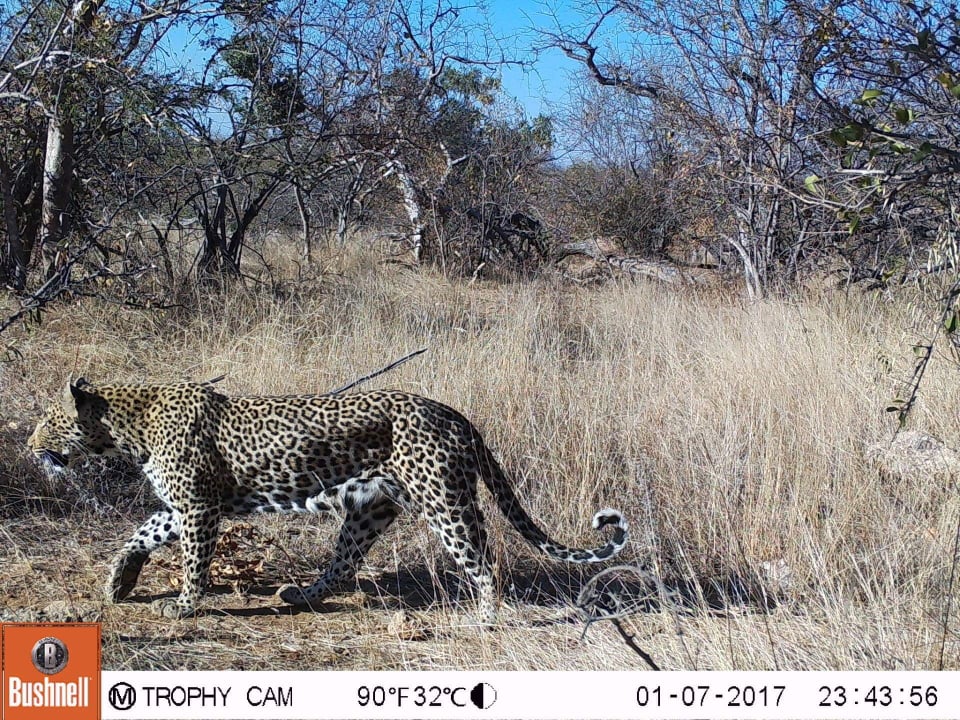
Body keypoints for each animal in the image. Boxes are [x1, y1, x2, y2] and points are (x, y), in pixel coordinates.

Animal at [28, 378, 628, 623]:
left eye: (48, 420)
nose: (30, 447)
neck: (126, 429)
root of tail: (454, 414)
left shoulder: (199, 508)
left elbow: (194, 562)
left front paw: (183, 606)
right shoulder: (187, 505)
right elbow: (142, 533)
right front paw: (118, 581)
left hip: (446, 500)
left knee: (483, 562)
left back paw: (483, 620)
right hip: (371, 507)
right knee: (343, 564)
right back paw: (302, 595)